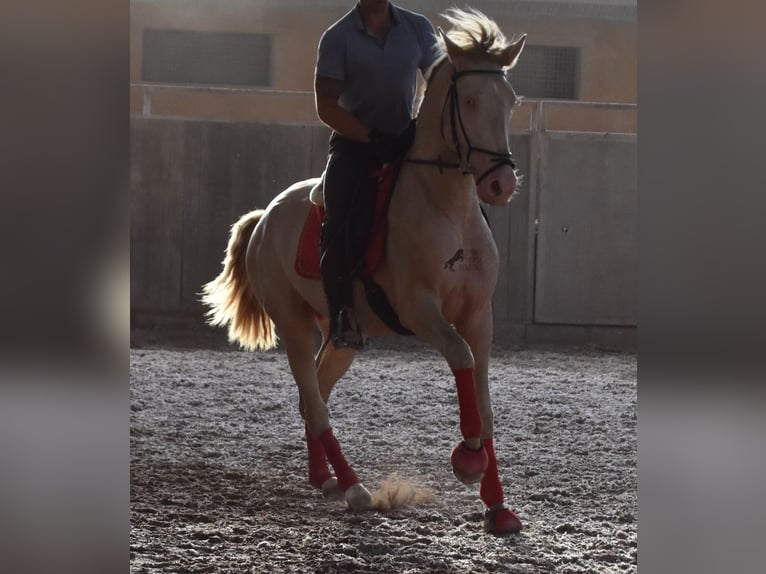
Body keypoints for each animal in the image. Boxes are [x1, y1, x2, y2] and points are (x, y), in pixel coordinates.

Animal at [202, 9, 528, 536]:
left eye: (511, 102)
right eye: (470, 100)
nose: (501, 183)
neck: (448, 209)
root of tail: (266, 215)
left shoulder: (480, 315)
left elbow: (485, 402)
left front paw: (498, 507)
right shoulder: (421, 312)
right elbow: (460, 358)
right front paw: (466, 459)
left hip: (342, 336)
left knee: (313, 395)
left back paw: (325, 479)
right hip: (293, 324)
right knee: (314, 404)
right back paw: (354, 489)